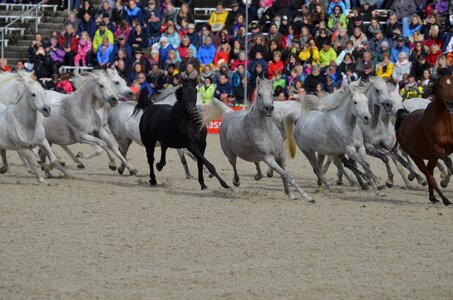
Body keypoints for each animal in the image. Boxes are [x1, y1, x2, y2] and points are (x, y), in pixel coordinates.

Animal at [394, 75, 452, 206]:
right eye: (440, 86)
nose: (450, 103)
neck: (443, 123)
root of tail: (405, 118)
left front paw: (444, 181)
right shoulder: (438, 149)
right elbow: (449, 162)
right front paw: (444, 182)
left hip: (432, 157)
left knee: (429, 172)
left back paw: (433, 197)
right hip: (416, 156)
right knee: (429, 175)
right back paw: (445, 200)